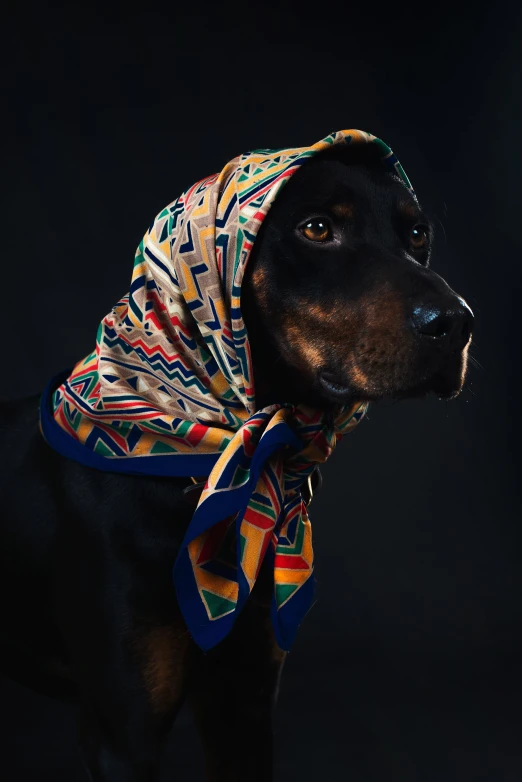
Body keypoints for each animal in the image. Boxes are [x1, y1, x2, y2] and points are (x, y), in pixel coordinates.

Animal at [0, 138, 472, 780]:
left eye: (417, 233)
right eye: (317, 228)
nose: (458, 324)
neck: (194, 458)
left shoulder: (242, 702)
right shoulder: (123, 732)